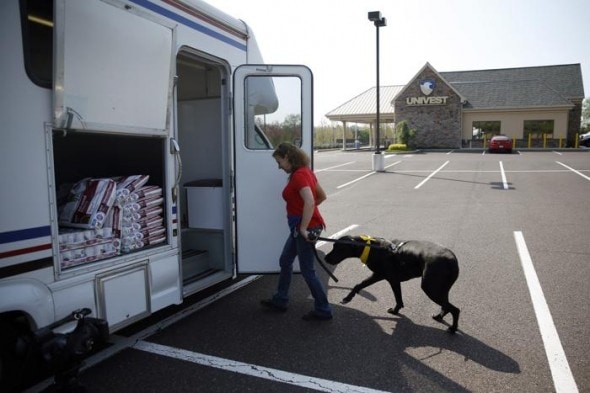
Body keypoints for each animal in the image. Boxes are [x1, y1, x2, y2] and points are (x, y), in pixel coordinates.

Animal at [324, 234, 462, 332]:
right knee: (446, 306)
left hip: (430, 287)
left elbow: (361, 285)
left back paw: (453, 329)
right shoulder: (389, 279)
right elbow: (361, 285)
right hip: (440, 288)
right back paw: (439, 317)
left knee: (455, 309)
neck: (371, 247)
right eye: (333, 246)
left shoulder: (384, 277)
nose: (325, 258)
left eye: (338, 248)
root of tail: (452, 259)